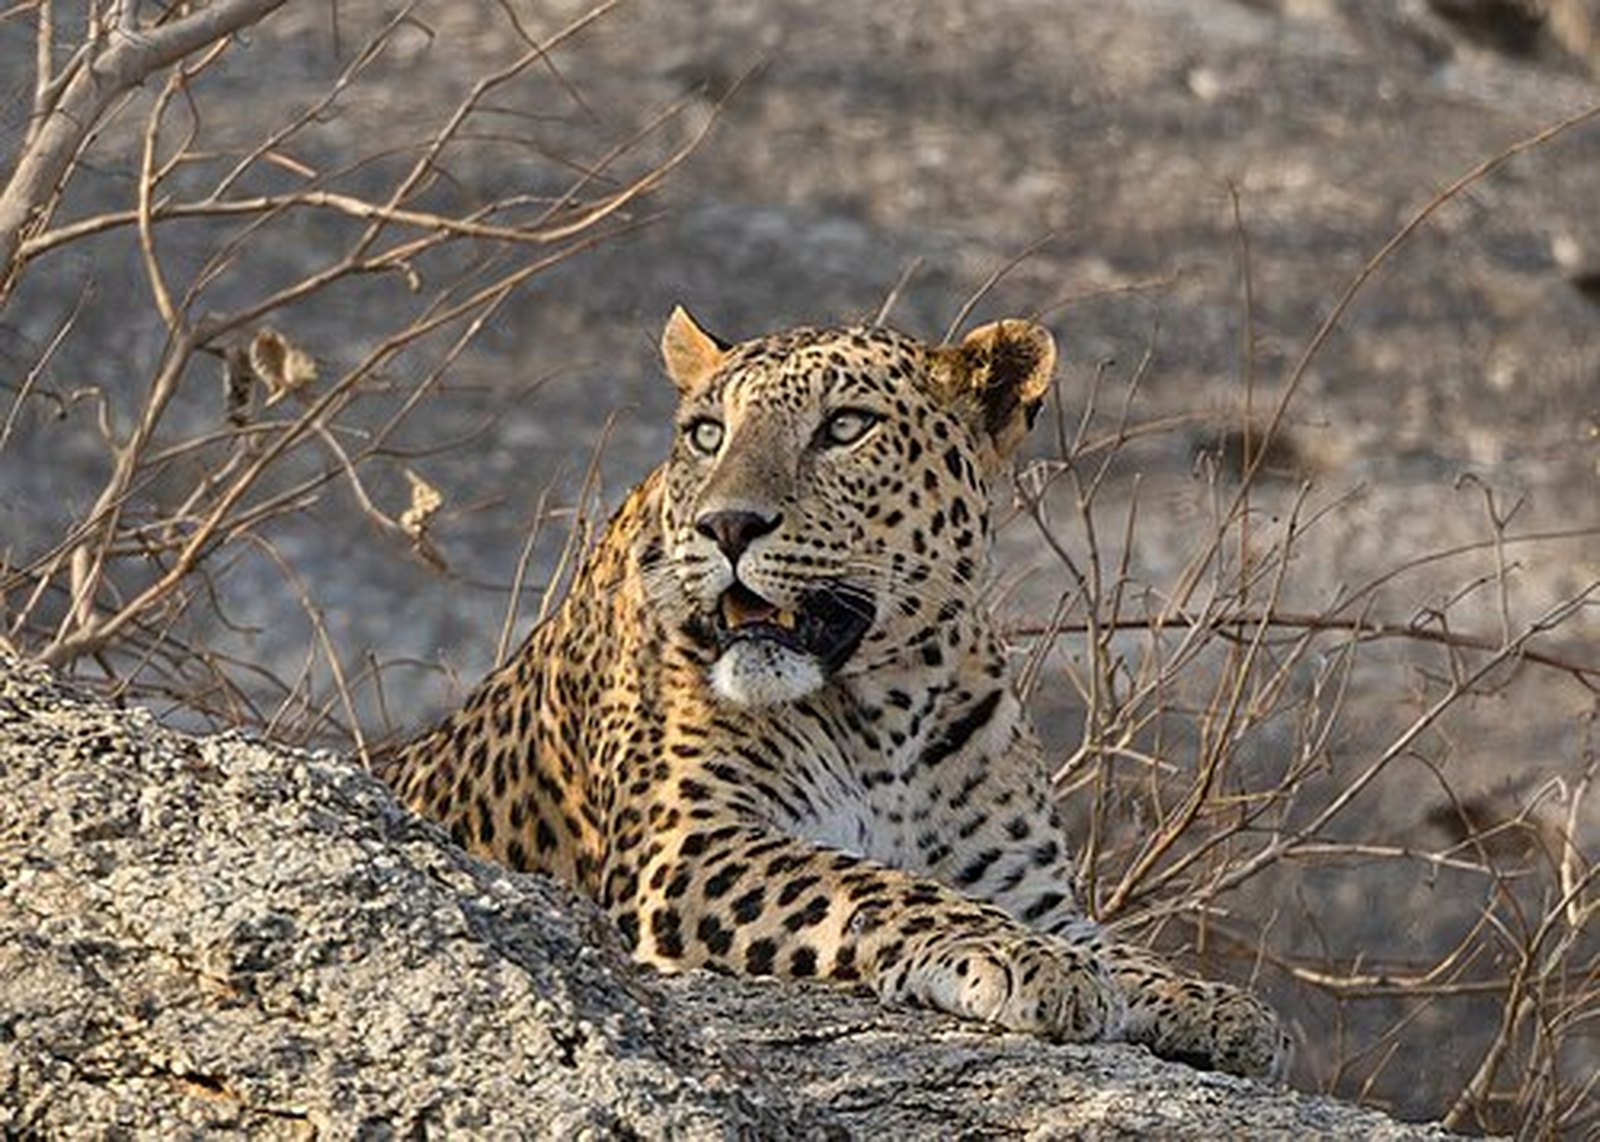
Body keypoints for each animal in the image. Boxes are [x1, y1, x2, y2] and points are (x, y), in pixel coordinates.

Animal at [380, 306, 1290, 1080]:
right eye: (707, 434)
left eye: (845, 428)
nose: (727, 526)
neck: (890, 706)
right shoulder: (688, 845)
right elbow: (872, 883)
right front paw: (1029, 962)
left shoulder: (1024, 887)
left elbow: (1116, 947)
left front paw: (1215, 1003)